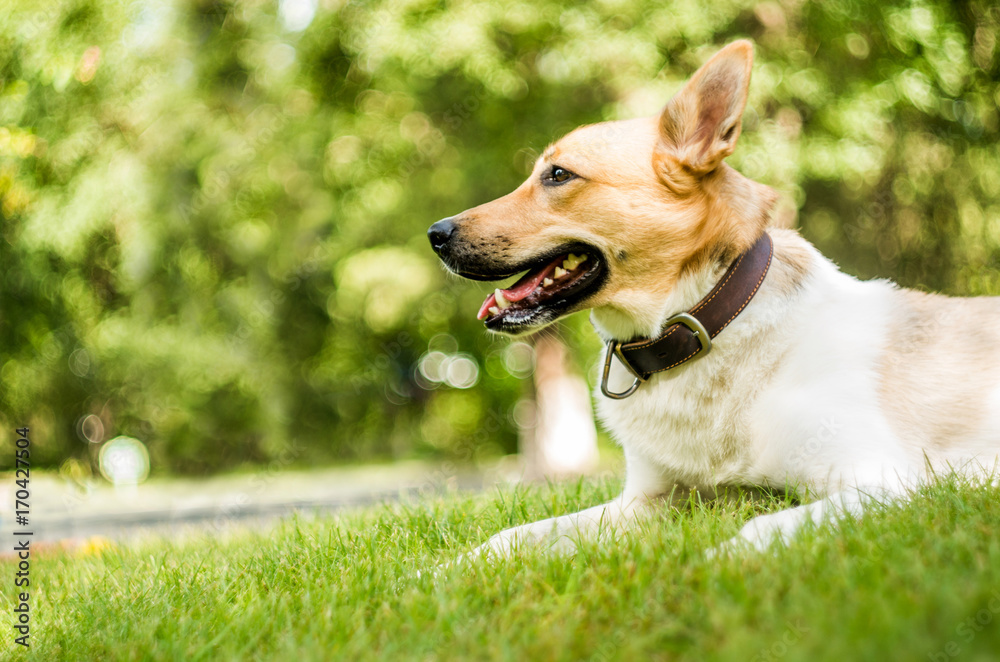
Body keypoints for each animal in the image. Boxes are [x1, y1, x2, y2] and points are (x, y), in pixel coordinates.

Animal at [424, 40, 1000, 560]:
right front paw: (446, 573)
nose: (435, 234)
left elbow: (757, 528)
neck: (706, 322)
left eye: (559, 175)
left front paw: (708, 567)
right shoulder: (645, 502)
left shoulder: (885, 483)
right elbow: (515, 536)